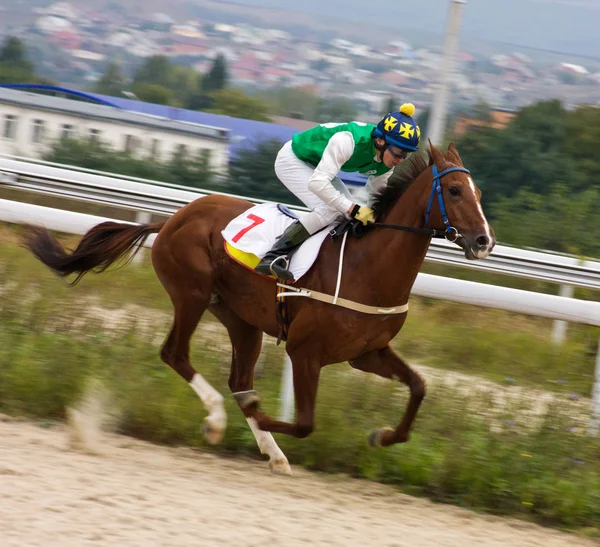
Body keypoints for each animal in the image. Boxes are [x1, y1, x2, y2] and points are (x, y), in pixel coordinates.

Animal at [23, 142, 494, 476]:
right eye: (454, 190)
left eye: (479, 192)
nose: (484, 241)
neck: (368, 265)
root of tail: (172, 218)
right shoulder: (305, 352)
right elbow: (304, 422)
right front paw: (264, 418)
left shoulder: (367, 353)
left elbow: (419, 386)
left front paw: (381, 436)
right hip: (192, 294)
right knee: (177, 354)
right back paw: (218, 420)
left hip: (241, 319)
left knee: (238, 380)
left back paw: (271, 450)